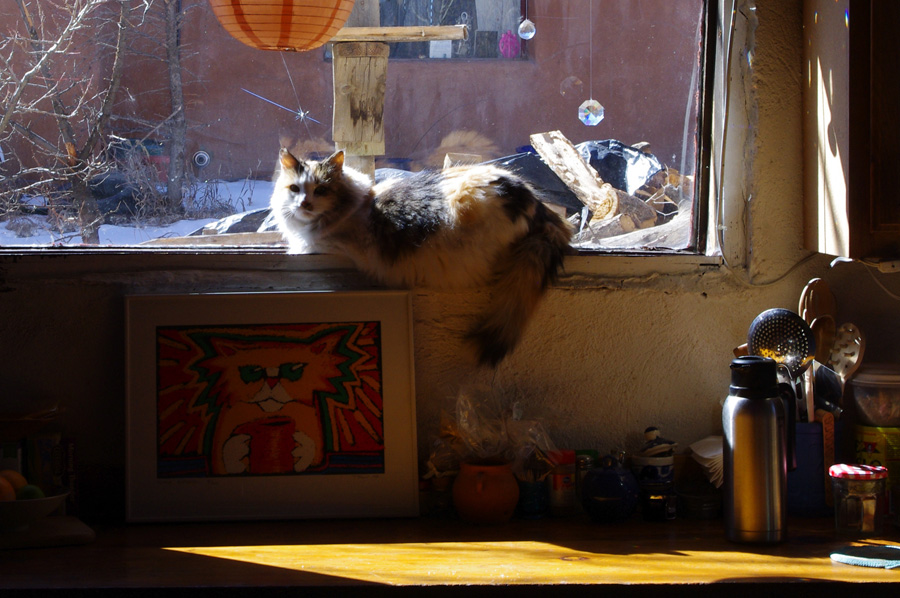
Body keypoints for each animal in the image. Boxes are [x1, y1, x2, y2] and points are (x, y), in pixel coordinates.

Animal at [270, 149, 572, 366]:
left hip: (469, 202)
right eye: (294, 189)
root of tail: (539, 206)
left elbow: (304, 249)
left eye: (321, 190)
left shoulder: (326, 249)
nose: (304, 204)